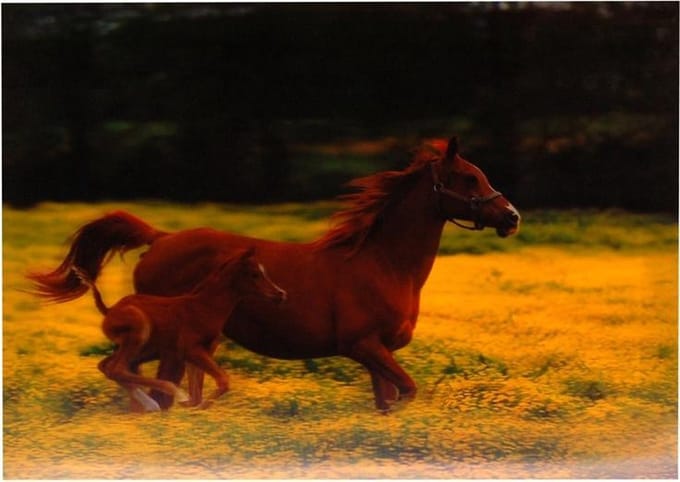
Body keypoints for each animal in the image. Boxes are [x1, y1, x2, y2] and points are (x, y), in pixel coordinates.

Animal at [74, 247, 286, 412]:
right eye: (255, 274)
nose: (280, 294)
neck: (205, 307)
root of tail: (109, 310)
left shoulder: (198, 353)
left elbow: (197, 394)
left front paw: (191, 408)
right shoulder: (192, 350)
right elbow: (222, 381)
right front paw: (191, 404)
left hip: (143, 349)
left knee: (108, 367)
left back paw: (151, 404)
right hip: (140, 334)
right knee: (117, 369)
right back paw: (167, 397)